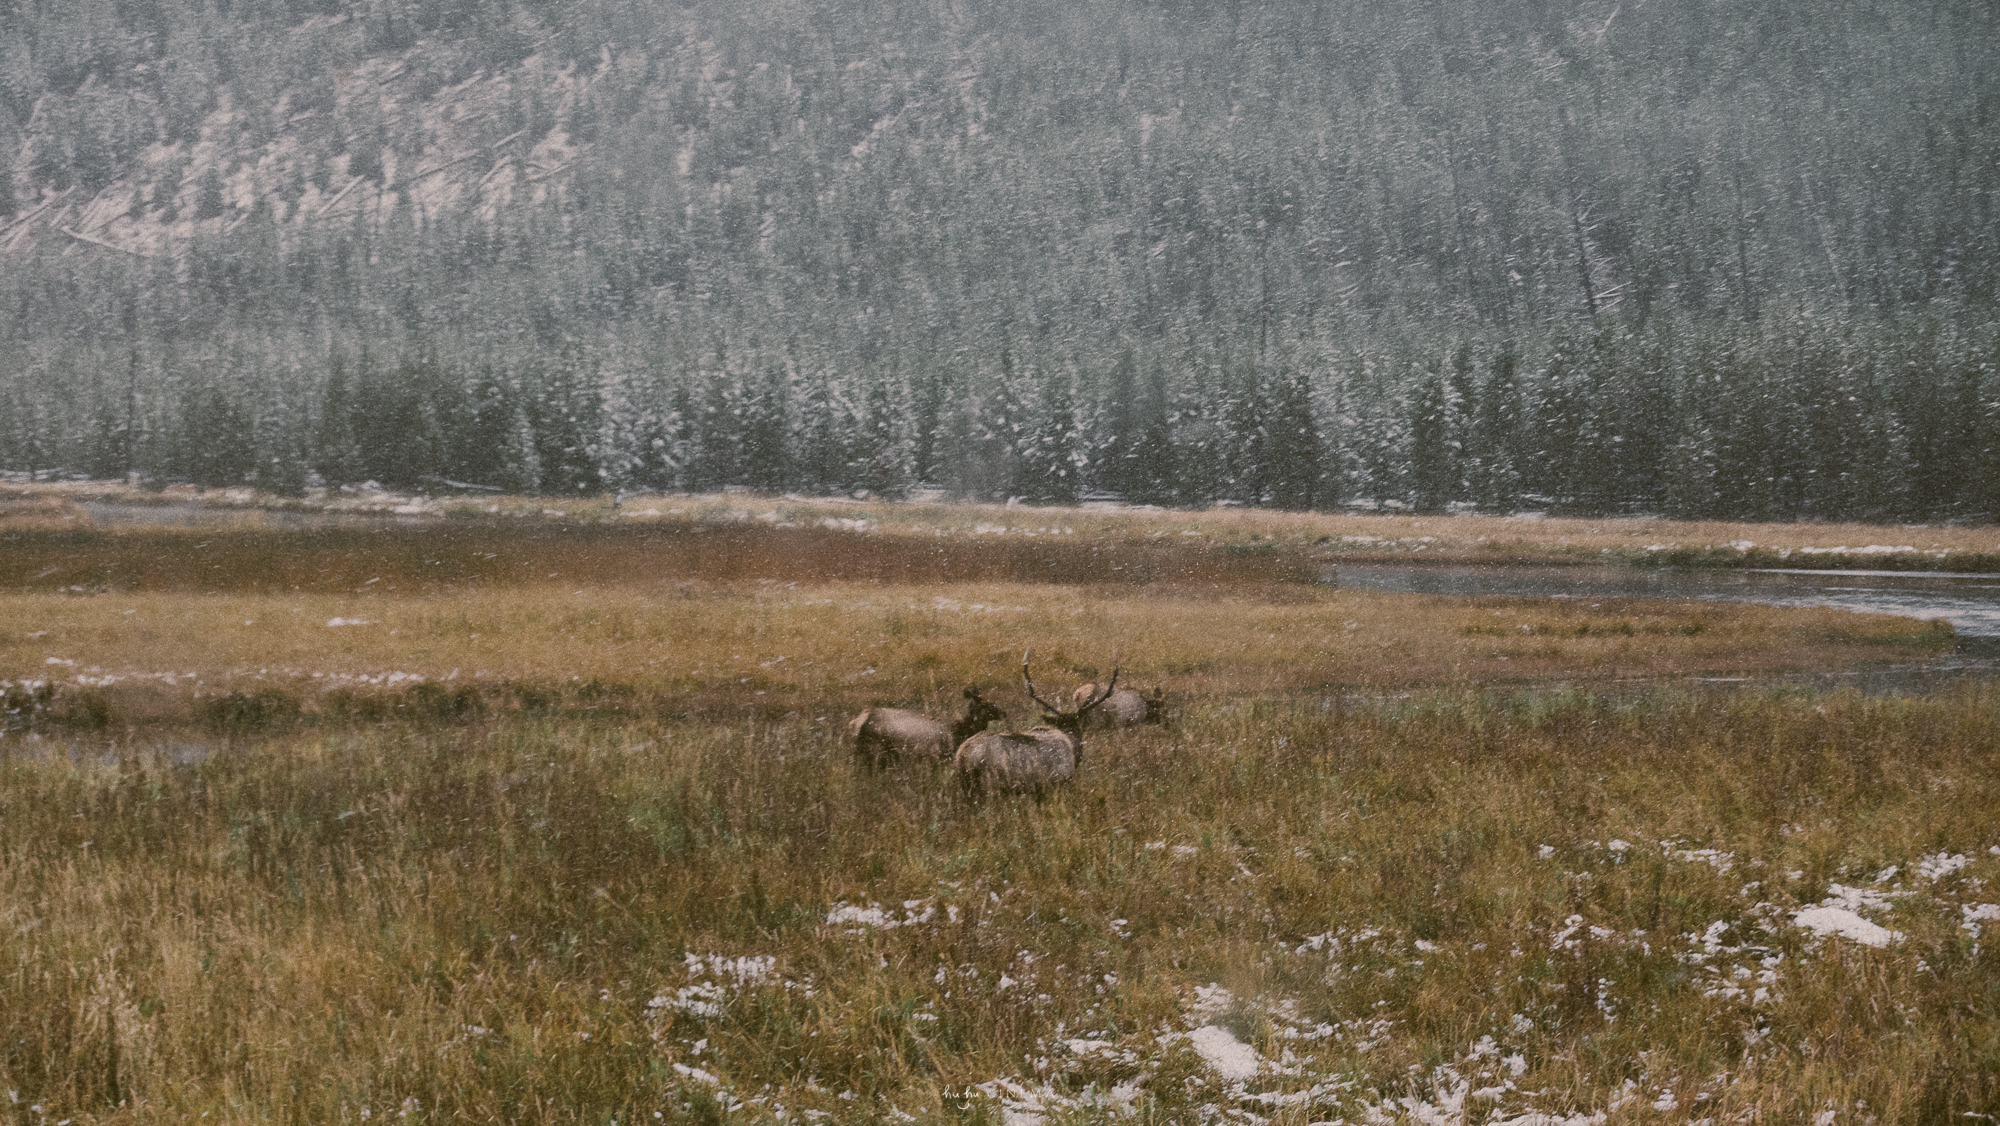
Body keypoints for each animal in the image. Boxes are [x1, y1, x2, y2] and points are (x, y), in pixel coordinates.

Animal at [848, 684, 1008, 772]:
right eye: (985, 703)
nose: (1004, 713)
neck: (962, 731)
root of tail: (856, 722)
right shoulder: (941, 757)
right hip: (873, 751)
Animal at [948, 648, 1120, 796]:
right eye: (1079, 728)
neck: (1071, 742)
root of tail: (963, 757)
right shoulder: (1059, 781)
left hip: (967, 787)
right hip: (992, 786)